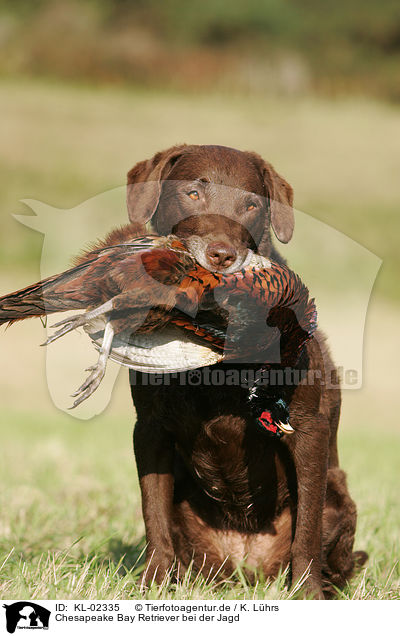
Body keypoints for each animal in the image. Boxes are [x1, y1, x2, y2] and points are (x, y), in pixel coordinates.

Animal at [126, 144, 366, 596]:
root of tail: (247, 568)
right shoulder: (148, 427)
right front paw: (151, 587)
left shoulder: (308, 429)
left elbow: (306, 531)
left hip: (338, 494)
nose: (222, 255)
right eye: (192, 193)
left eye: (252, 205)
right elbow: (155, 518)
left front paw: (307, 595)